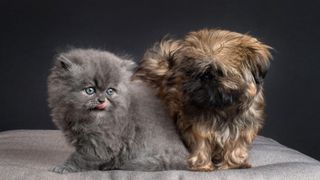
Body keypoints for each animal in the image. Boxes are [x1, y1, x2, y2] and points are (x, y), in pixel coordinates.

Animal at [46, 48, 189, 173]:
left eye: (110, 91)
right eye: (90, 90)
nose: (102, 100)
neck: (89, 119)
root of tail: (184, 156)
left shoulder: (101, 143)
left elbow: (81, 158)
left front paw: (63, 168)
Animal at [132, 28, 272, 171]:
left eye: (220, 71)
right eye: (191, 71)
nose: (204, 76)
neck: (222, 109)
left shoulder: (244, 127)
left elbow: (236, 145)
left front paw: (234, 163)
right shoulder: (197, 126)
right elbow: (201, 143)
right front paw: (202, 165)